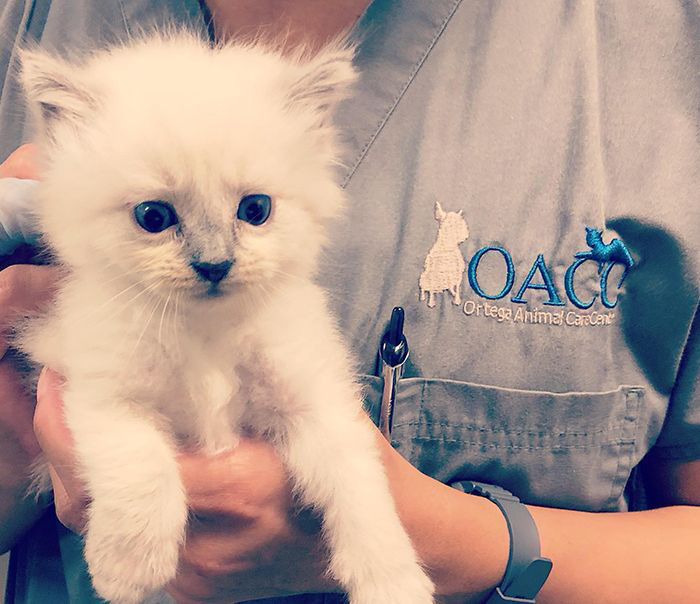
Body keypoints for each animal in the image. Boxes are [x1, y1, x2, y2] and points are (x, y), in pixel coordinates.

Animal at [16, 31, 432, 604]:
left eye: (255, 210)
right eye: (153, 217)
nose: (214, 266)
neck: (205, 332)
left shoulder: (315, 404)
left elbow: (361, 488)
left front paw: (393, 581)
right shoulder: (106, 398)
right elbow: (142, 469)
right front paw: (128, 569)